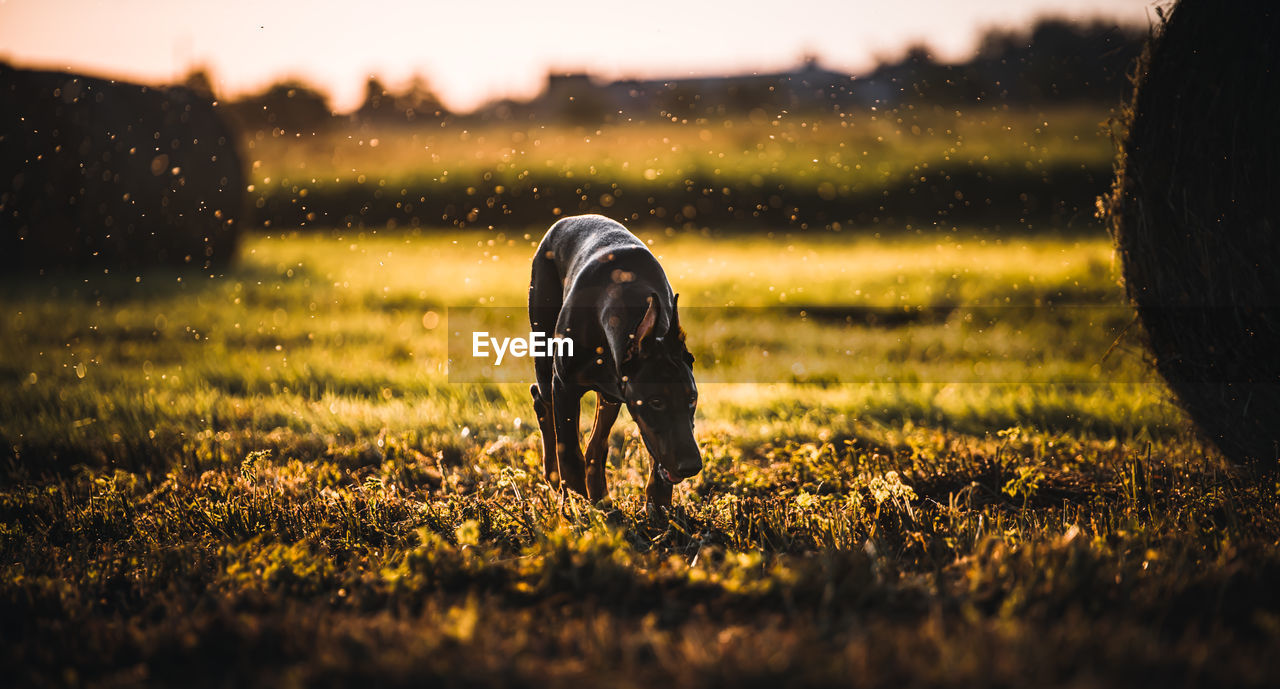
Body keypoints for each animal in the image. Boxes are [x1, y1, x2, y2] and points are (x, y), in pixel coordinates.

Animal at [527, 215, 701, 509]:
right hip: (544, 345)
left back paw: (600, 497)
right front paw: (575, 502)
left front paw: (659, 506)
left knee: (597, 443)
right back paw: (555, 477)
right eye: (656, 401)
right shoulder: (564, 386)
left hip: (610, 394)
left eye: (692, 399)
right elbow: (568, 452)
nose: (691, 466)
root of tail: (568, 219)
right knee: (543, 402)